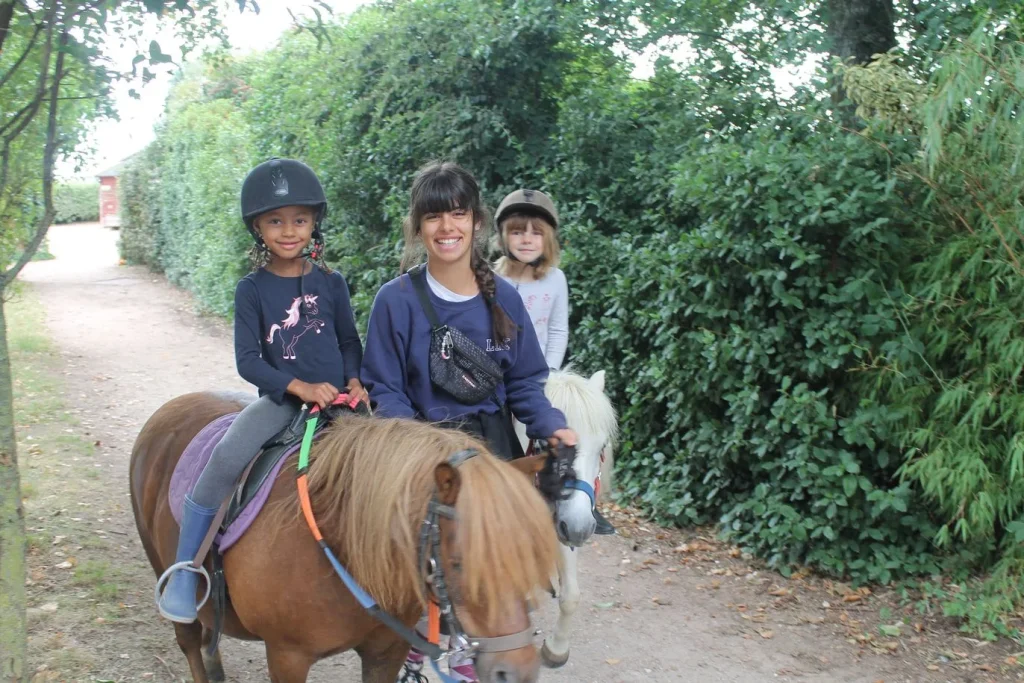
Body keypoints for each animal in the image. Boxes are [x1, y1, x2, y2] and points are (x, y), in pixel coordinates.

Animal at [130, 393, 561, 679]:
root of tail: (170, 408)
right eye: (458, 564)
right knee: (190, 642)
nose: (519, 671)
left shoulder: (386, 652)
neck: (341, 546)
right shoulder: (287, 656)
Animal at [512, 368, 614, 667]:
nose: (580, 529)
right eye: (547, 445)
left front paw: (556, 648)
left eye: (602, 446)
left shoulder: (562, 525)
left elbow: (570, 595)